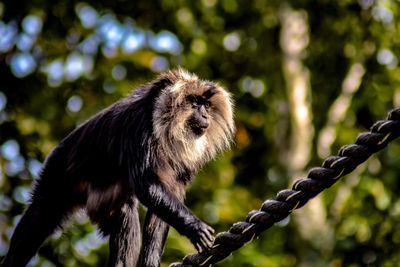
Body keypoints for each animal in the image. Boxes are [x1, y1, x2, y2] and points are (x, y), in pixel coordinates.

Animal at [2, 69, 234, 267]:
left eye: (206, 105)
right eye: (195, 103)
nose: (205, 115)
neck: (163, 126)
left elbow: (165, 198)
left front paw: (151, 262)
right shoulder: (139, 126)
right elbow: (147, 185)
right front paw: (194, 227)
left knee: (123, 211)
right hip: (57, 172)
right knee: (39, 217)